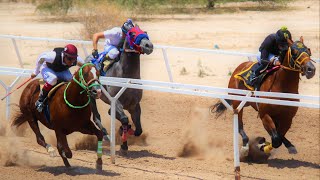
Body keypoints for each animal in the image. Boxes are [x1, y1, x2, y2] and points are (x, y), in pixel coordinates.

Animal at [87, 25, 153, 153]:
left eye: (145, 32)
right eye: (132, 34)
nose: (149, 45)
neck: (127, 77)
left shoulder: (134, 105)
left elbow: (138, 130)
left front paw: (124, 137)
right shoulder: (116, 100)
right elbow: (124, 119)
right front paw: (123, 141)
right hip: (92, 94)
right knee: (96, 117)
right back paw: (105, 135)